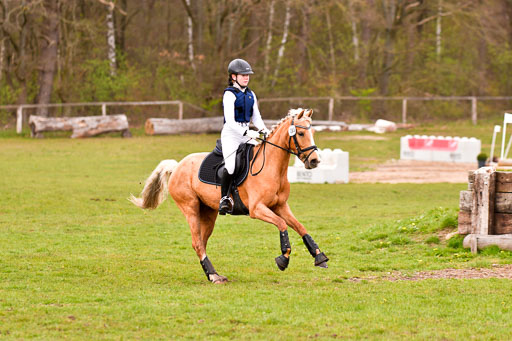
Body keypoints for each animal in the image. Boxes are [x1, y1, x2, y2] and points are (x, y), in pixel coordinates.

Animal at [130, 108, 330, 282]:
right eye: (301, 134)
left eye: (313, 132)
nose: (314, 161)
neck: (272, 167)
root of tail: (177, 166)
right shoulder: (257, 209)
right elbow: (282, 224)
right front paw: (283, 258)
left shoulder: (280, 206)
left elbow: (300, 227)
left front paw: (319, 256)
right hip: (190, 208)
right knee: (197, 242)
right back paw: (213, 276)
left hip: (208, 212)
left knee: (202, 242)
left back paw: (213, 273)